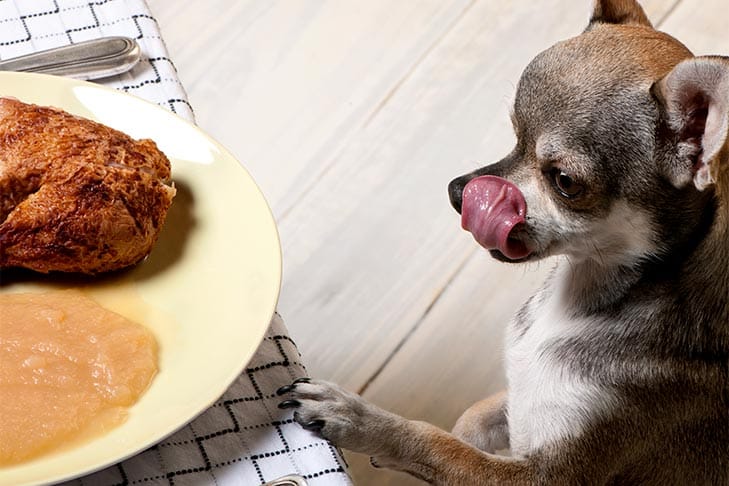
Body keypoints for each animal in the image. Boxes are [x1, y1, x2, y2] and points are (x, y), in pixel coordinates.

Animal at [276, 1, 724, 484]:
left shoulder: (544, 475)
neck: (578, 298)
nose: (458, 193)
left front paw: (359, 419)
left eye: (565, 182)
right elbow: (469, 424)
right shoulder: (512, 396)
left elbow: (439, 445)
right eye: (513, 136)